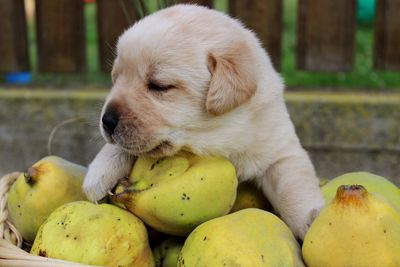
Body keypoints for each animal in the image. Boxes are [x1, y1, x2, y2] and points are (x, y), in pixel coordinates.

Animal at [83, 4, 324, 240]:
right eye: (116, 79)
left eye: (159, 86)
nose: (107, 121)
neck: (217, 134)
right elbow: (120, 148)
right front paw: (98, 174)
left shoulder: (280, 150)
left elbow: (294, 188)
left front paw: (310, 220)